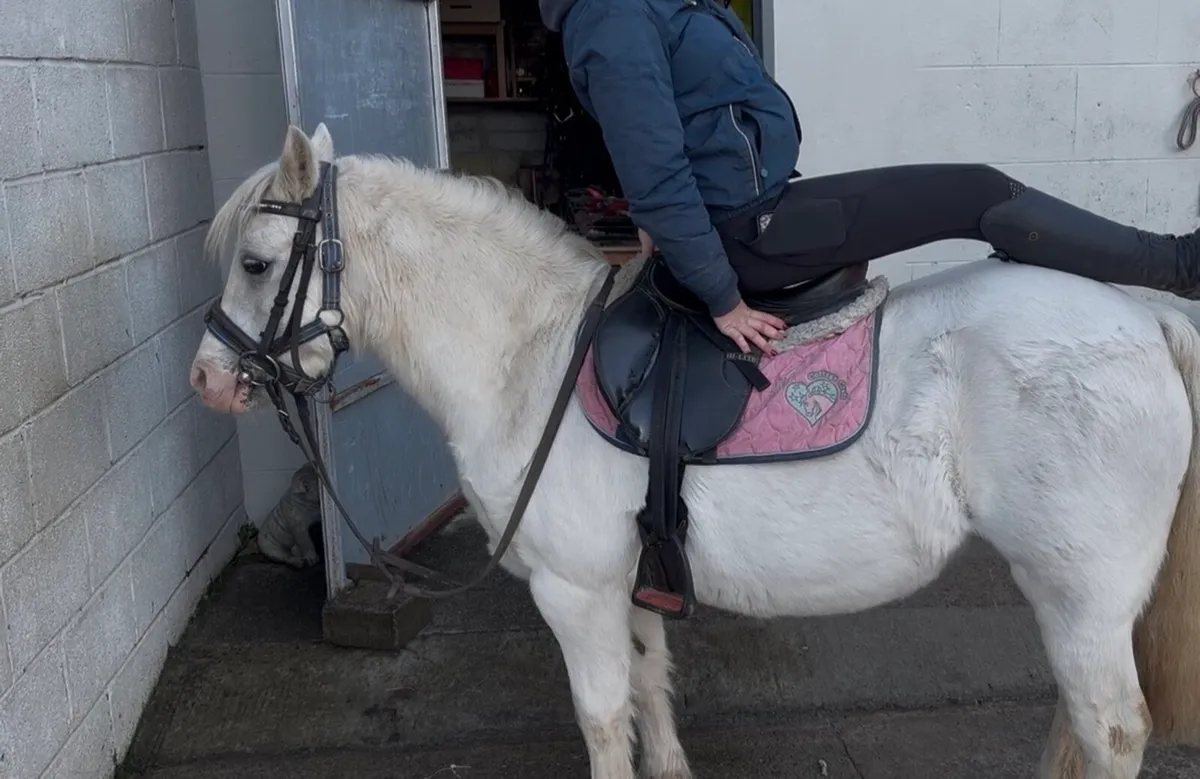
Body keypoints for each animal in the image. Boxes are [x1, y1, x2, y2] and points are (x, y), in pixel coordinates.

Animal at [189, 123, 1200, 779]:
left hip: (1083, 593)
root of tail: (1145, 318)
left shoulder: (572, 590)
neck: (529, 356)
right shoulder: (626, 582)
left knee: (1111, 730)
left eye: (255, 263)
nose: (208, 378)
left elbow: (604, 719)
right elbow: (649, 689)